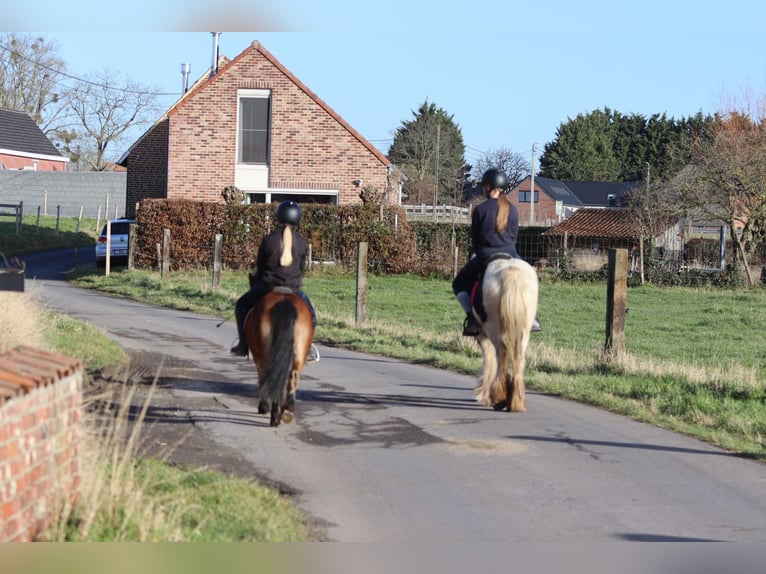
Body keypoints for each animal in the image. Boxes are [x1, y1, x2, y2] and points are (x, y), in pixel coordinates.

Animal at [244, 287, 314, 427]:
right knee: (292, 377)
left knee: (270, 375)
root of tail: (284, 300)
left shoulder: (258, 359)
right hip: (300, 352)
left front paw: (263, 407)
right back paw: (287, 412)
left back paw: (273, 414)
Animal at [472, 256, 539, 412]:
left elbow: (489, 359)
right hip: (523, 332)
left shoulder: (483, 333)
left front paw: (483, 393)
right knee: (518, 358)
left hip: (493, 329)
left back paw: (499, 398)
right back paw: (516, 401)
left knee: (501, 354)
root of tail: (511, 272)